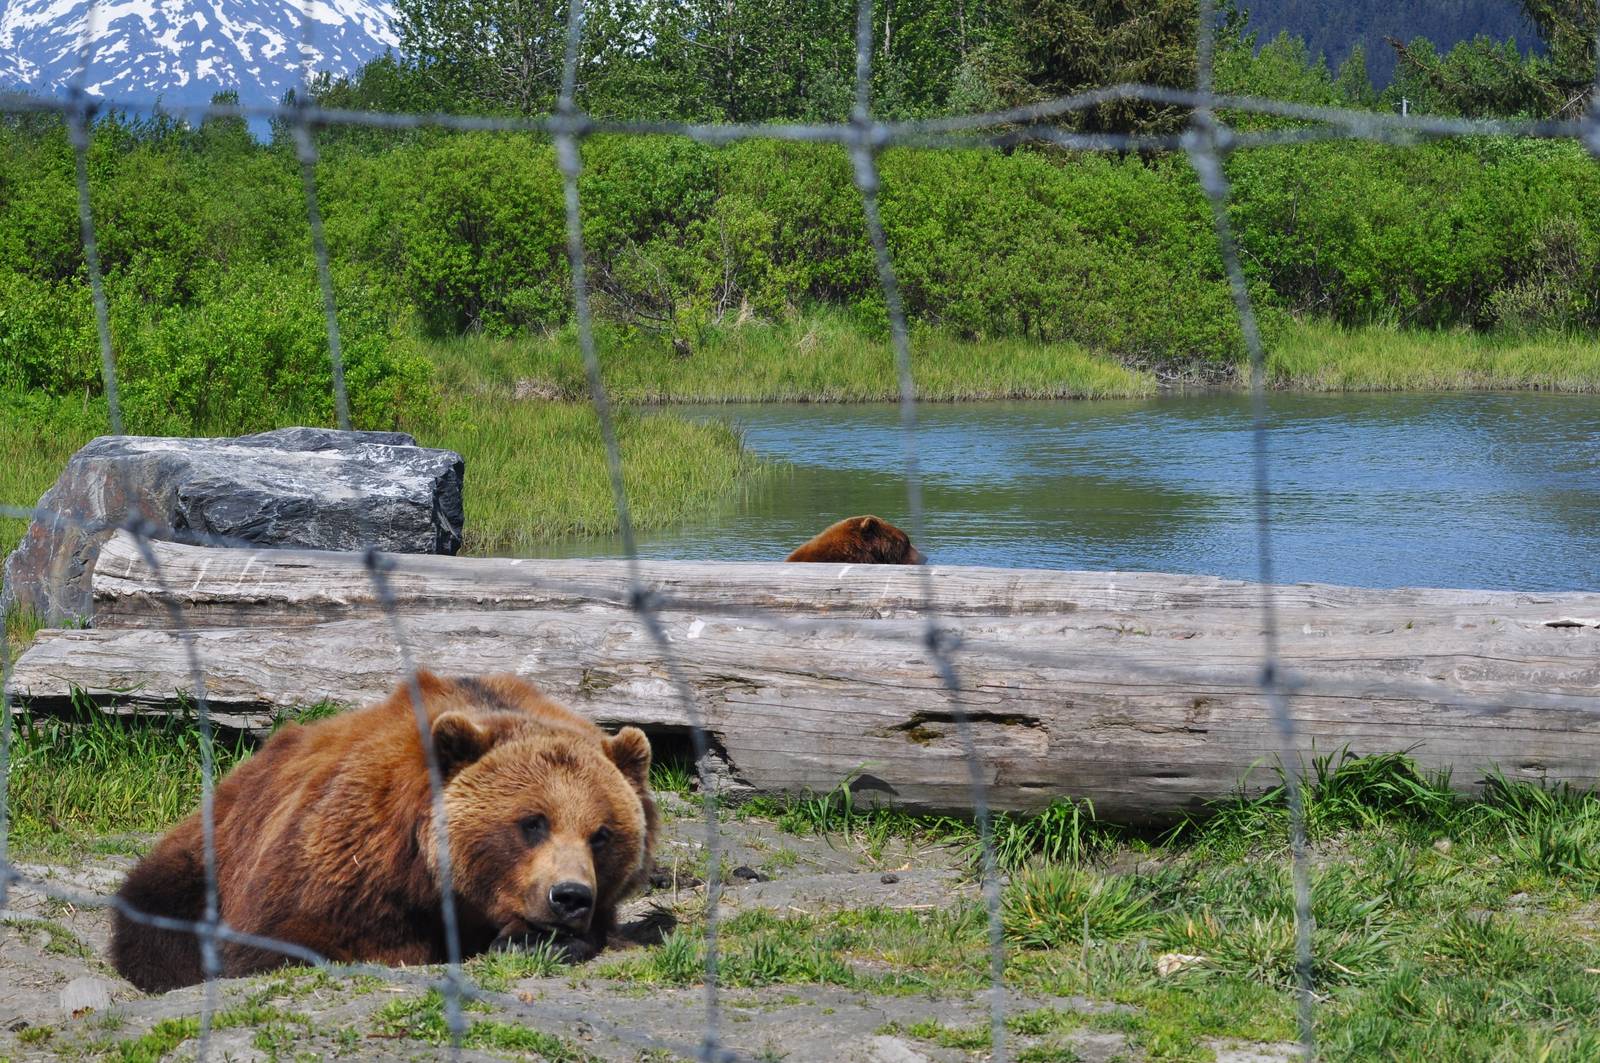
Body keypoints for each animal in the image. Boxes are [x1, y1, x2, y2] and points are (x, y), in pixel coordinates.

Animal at [110, 672, 657, 993]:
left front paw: (537, 939)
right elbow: (291, 940)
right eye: (532, 822)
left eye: (601, 834)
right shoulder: (346, 862)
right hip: (214, 852)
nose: (570, 896)